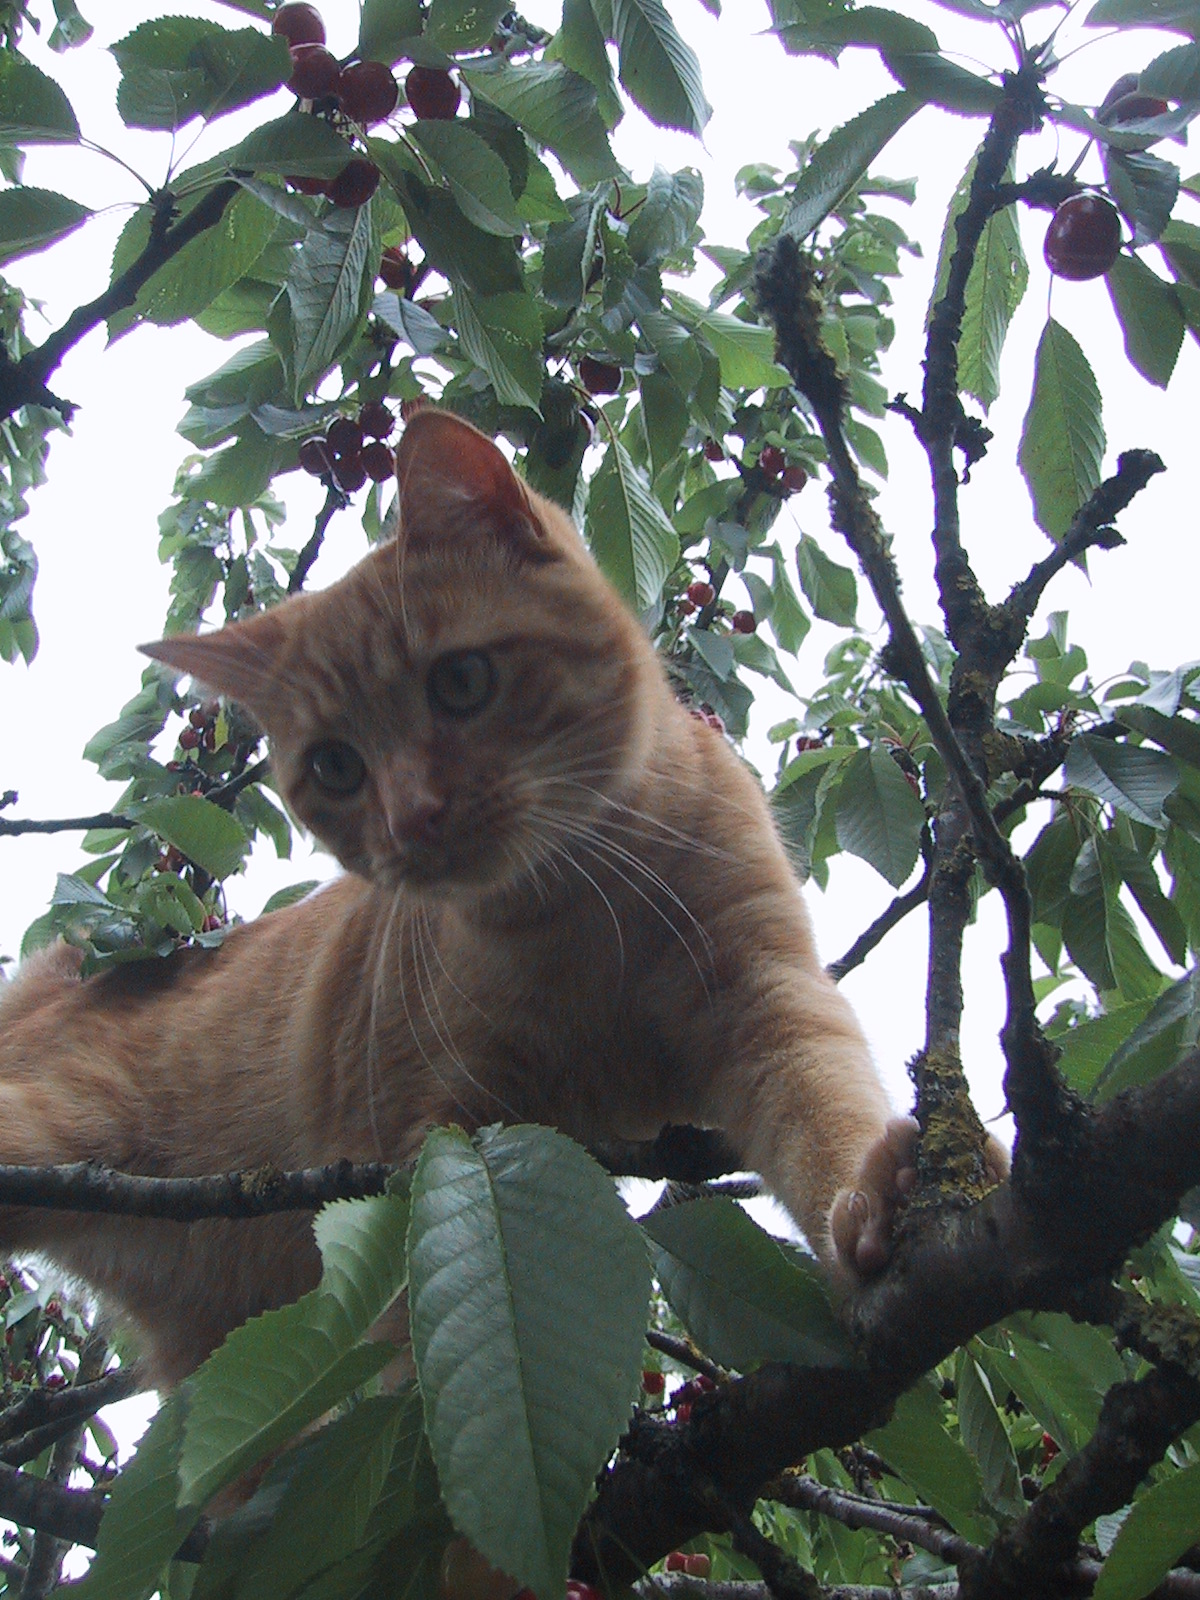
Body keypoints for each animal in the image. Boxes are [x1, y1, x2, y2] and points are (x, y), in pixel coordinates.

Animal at [0, 408, 918, 1391]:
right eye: (337, 765)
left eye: (462, 681)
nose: (413, 816)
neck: (581, 907)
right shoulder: (444, 1145)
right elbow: (412, 1345)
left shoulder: (766, 997)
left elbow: (824, 1112)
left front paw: (869, 1205)